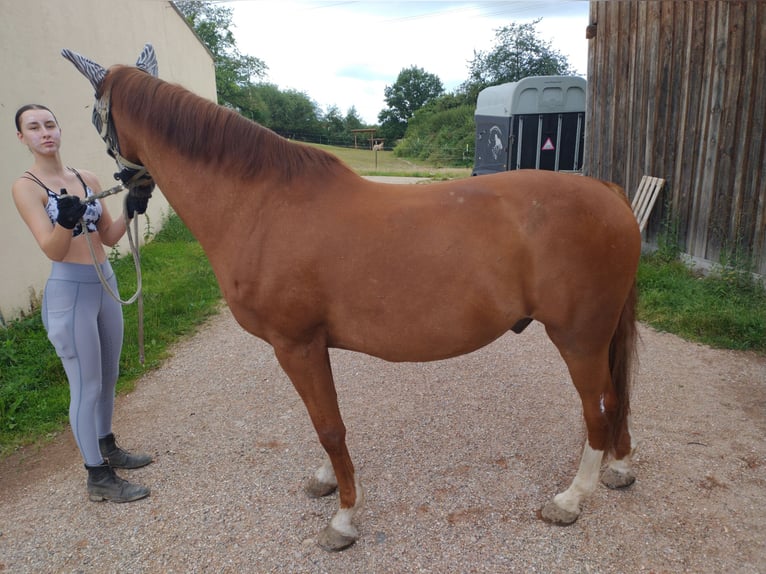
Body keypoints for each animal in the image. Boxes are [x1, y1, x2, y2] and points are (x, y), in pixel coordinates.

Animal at [64, 46, 640, 552]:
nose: (124, 188)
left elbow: (329, 427)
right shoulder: (309, 348)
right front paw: (327, 482)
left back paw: (570, 500)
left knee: (599, 409)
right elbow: (323, 424)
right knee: (617, 402)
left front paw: (342, 519)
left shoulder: (296, 344)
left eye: (94, 116)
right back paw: (619, 469)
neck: (261, 206)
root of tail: (608, 192)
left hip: (579, 339)